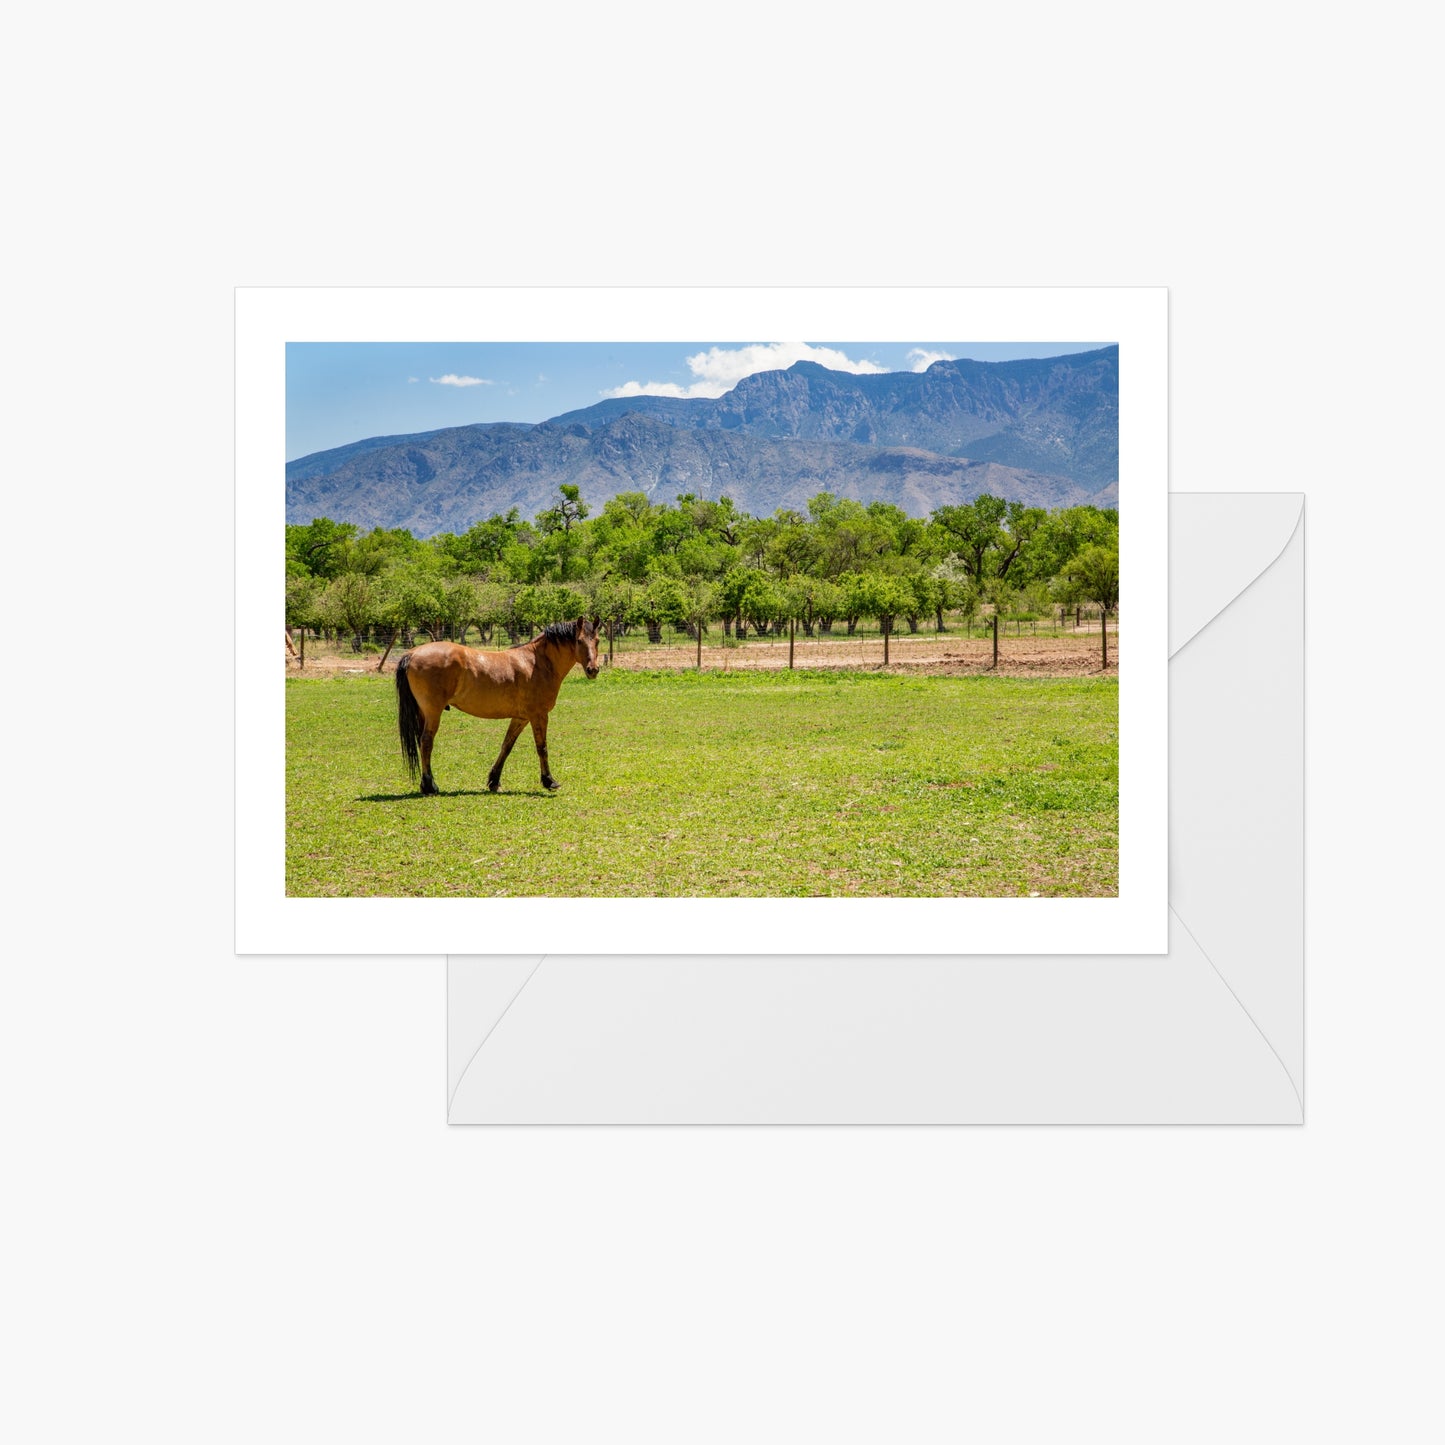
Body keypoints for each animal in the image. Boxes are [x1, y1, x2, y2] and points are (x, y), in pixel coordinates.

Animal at [393, 615, 601, 797]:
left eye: (597, 641)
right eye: (579, 641)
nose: (593, 670)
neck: (536, 662)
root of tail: (412, 653)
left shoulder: (521, 717)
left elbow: (506, 746)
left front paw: (494, 781)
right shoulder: (539, 715)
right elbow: (542, 748)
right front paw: (549, 781)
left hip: (423, 713)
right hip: (433, 712)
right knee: (426, 742)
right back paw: (430, 786)